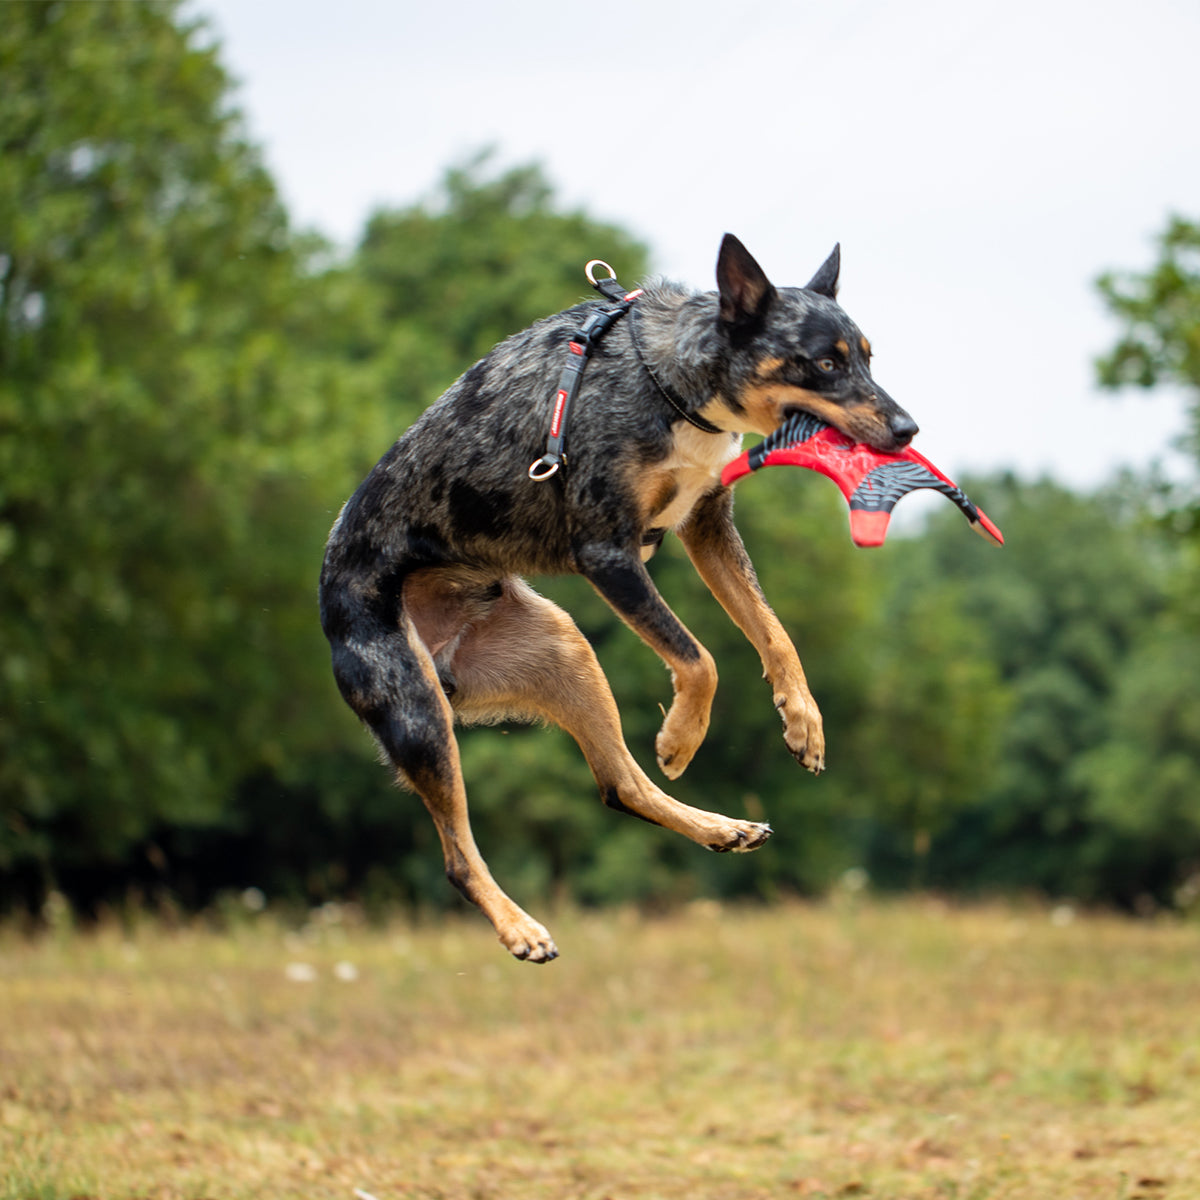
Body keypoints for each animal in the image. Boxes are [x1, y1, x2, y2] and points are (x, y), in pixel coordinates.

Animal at [319, 236, 916, 964]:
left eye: (867, 356)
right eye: (825, 362)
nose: (909, 429)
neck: (670, 381)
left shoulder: (706, 522)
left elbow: (772, 630)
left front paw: (802, 721)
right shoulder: (608, 552)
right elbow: (700, 660)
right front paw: (682, 740)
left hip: (561, 649)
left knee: (619, 784)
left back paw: (721, 829)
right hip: (415, 709)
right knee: (459, 856)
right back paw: (521, 929)